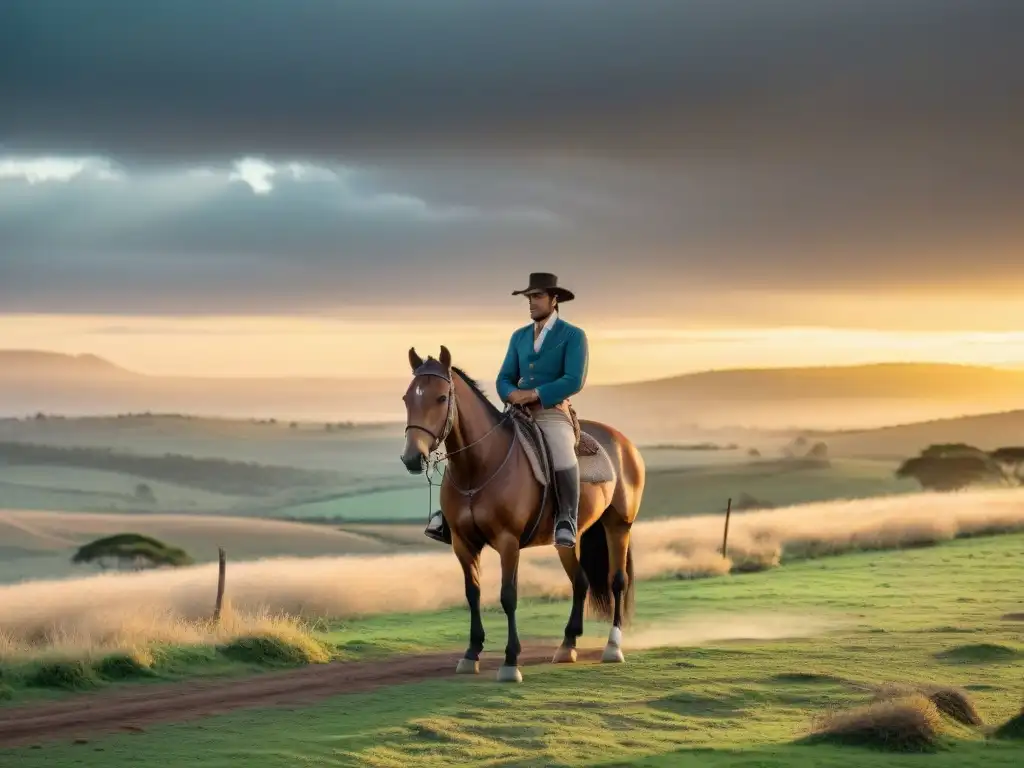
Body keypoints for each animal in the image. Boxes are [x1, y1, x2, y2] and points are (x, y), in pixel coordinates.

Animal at [397, 346, 643, 684]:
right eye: (407, 398)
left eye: (441, 398)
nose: (412, 457)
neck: (479, 466)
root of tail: (622, 442)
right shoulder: (462, 544)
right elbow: (472, 594)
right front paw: (471, 653)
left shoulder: (508, 542)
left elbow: (508, 596)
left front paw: (510, 661)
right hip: (567, 539)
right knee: (580, 582)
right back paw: (567, 645)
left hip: (619, 527)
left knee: (617, 581)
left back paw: (612, 647)